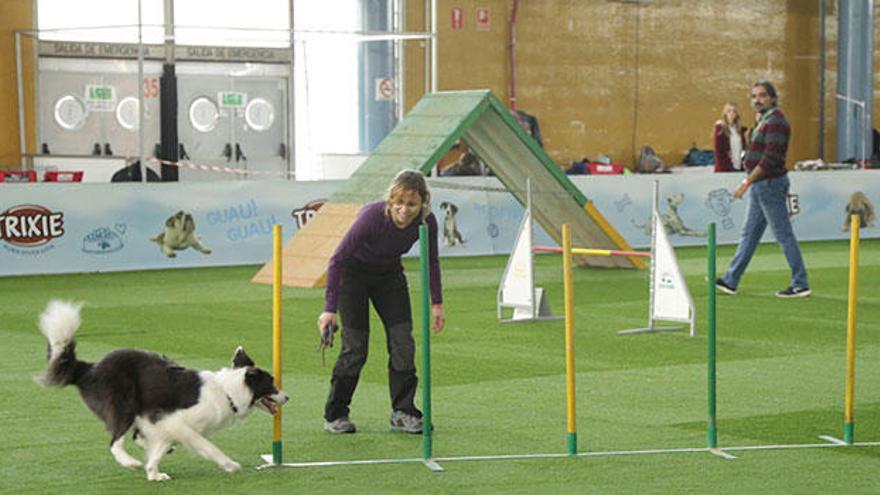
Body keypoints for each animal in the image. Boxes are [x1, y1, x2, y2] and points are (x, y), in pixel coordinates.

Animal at [37, 300, 288, 482]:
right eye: (272, 384)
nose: (287, 397)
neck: (228, 392)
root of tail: (90, 368)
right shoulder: (175, 422)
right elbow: (208, 447)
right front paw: (230, 464)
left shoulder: (165, 425)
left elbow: (160, 447)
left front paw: (153, 473)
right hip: (124, 405)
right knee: (115, 442)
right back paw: (130, 462)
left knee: (132, 437)